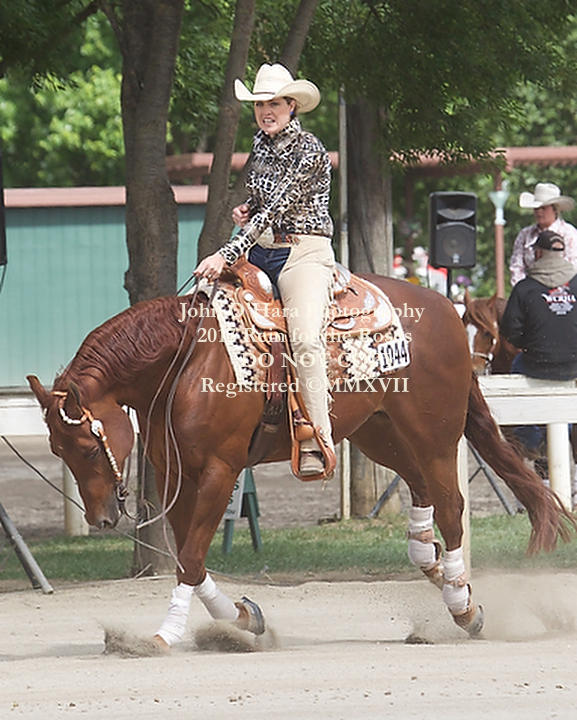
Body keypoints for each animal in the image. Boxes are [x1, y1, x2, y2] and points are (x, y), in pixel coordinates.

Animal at [27, 271, 574, 650]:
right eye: (57, 450)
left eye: (87, 447)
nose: (101, 519)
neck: (187, 357)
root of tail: (445, 307)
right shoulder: (177, 476)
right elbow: (191, 559)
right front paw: (245, 617)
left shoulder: (221, 470)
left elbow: (190, 558)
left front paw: (163, 636)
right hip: (380, 433)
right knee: (422, 494)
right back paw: (437, 568)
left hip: (434, 435)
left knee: (452, 507)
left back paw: (462, 605)